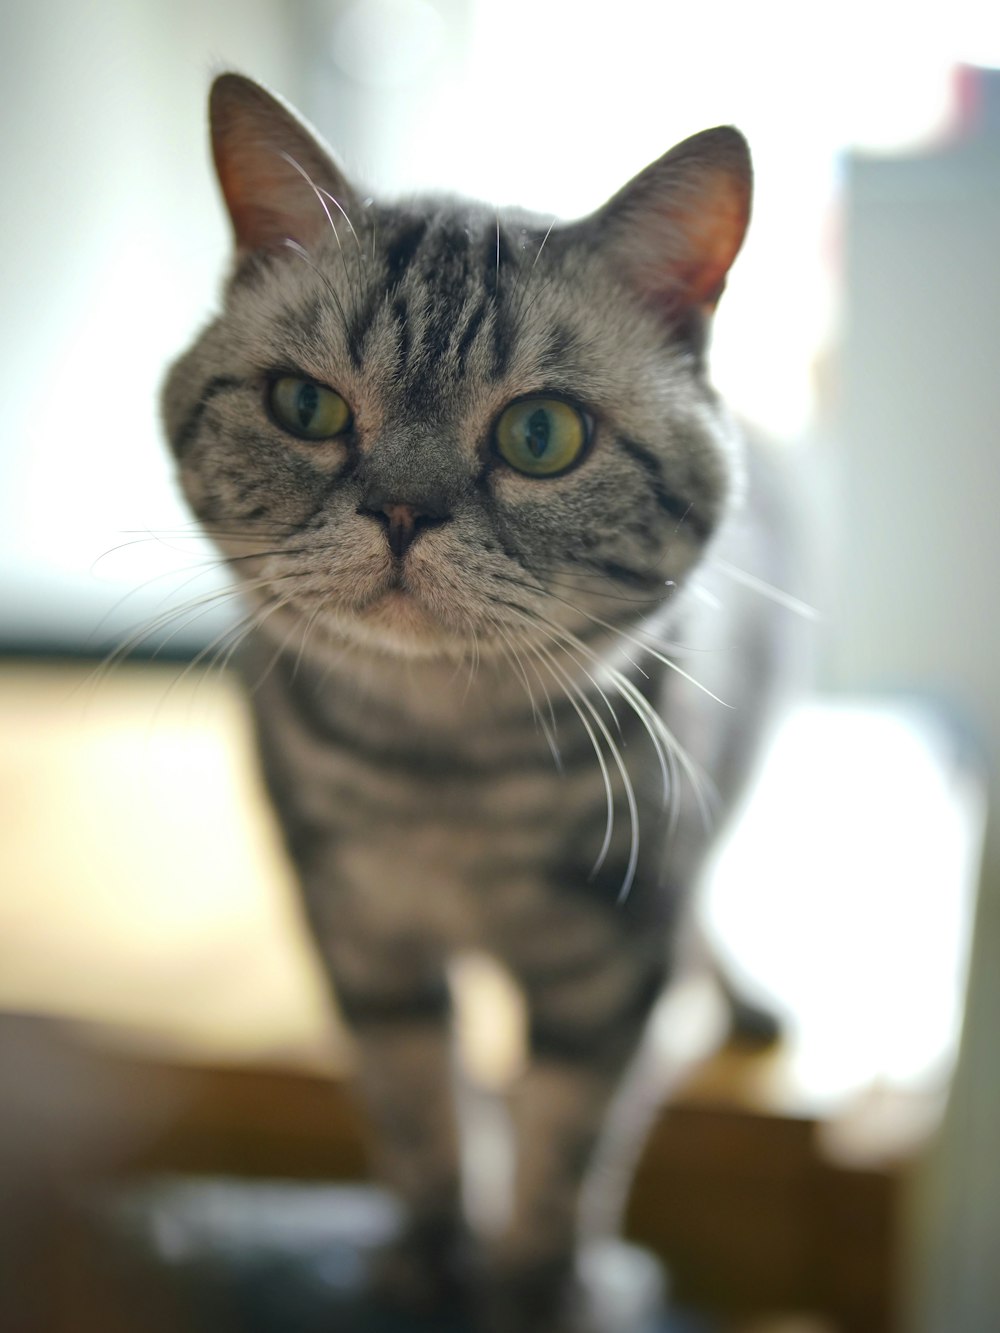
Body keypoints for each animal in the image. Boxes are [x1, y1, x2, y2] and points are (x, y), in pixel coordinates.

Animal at [160, 72, 794, 1333]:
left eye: (540, 434)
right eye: (306, 406)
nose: (402, 511)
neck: (442, 772)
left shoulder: (611, 964)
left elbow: (565, 1148)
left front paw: (540, 1288)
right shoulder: (362, 937)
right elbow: (418, 1115)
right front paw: (428, 1260)